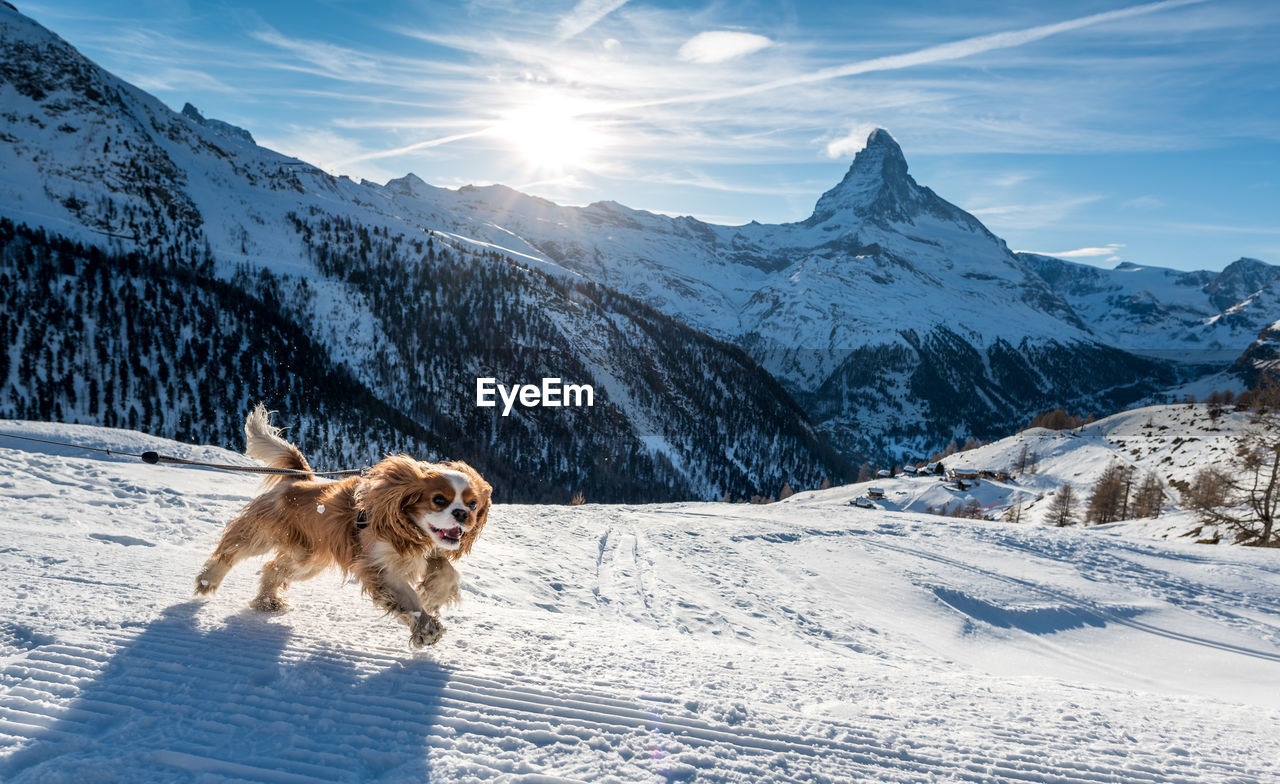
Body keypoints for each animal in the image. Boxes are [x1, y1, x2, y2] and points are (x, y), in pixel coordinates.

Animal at [195, 404, 494, 648]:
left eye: (473, 504)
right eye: (439, 500)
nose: (462, 514)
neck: (408, 528)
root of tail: (296, 480)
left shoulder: (424, 551)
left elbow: (448, 573)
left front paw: (433, 594)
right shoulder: (378, 566)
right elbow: (407, 597)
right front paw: (426, 629)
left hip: (308, 559)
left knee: (273, 568)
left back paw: (267, 602)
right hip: (262, 533)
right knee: (231, 551)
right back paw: (208, 580)